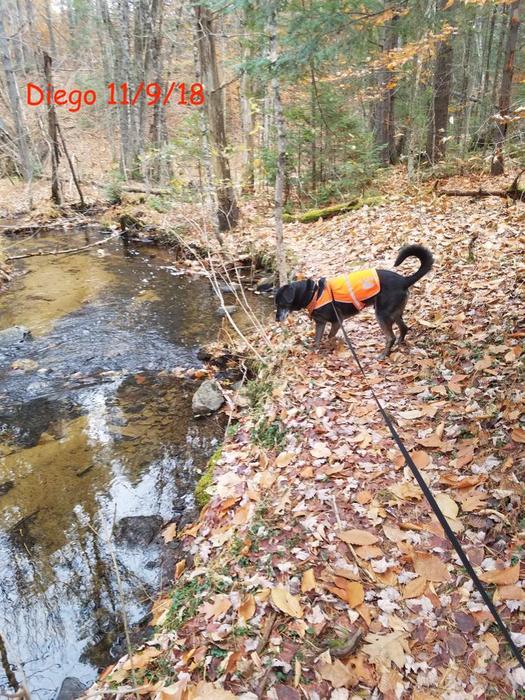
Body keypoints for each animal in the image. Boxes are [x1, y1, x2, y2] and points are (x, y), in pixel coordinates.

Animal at [274, 245, 434, 356]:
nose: (276, 319)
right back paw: (399, 345)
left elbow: (330, 336)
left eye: (281, 303)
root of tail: (404, 280)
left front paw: (332, 346)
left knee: (391, 337)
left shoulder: (336, 321)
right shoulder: (320, 323)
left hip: (382, 314)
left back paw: (384, 354)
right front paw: (315, 351)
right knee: (404, 327)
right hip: (394, 312)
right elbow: (317, 339)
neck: (314, 293)